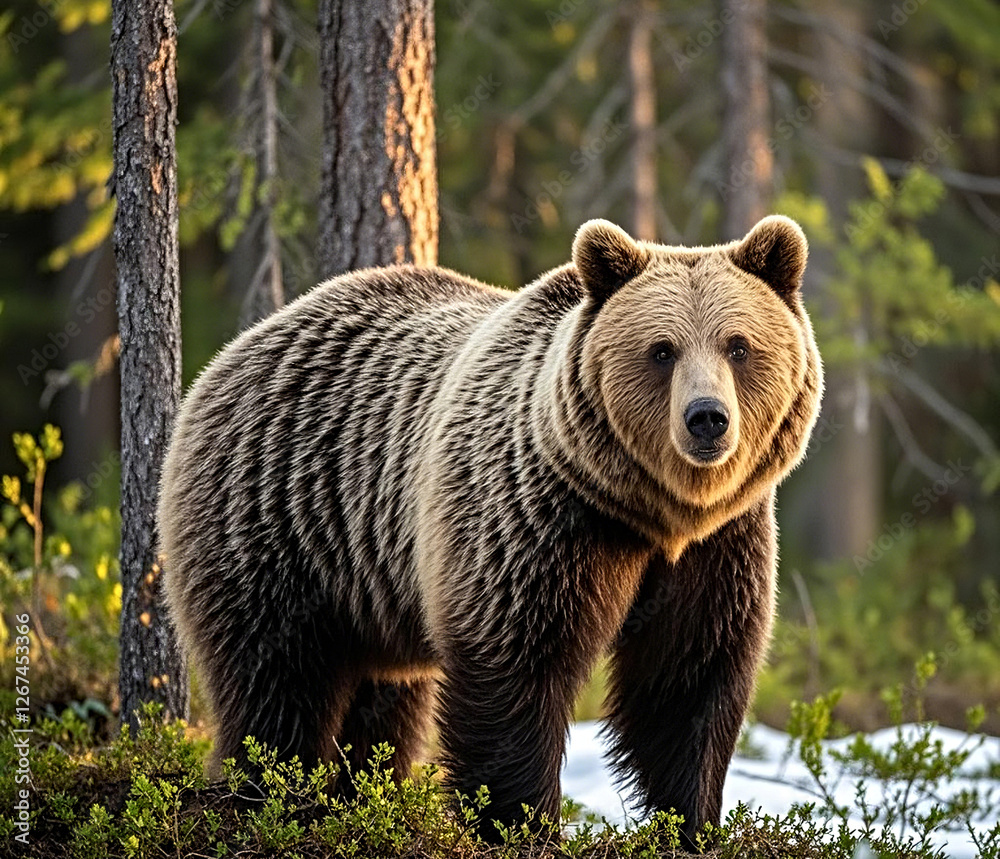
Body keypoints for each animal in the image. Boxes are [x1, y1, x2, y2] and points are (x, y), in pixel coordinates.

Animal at [158, 214, 823, 845]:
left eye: (738, 346)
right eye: (662, 350)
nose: (707, 418)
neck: (651, 510)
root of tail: (234, 351)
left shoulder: (718, 546)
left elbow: (688, 682)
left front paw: (691, 821)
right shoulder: (535, 521)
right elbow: (515, 669)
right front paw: (523, 823)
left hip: (369, 588)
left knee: (381, 706)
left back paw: (357, 798)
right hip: (280, 522)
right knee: (276, 683)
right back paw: (269, 801)